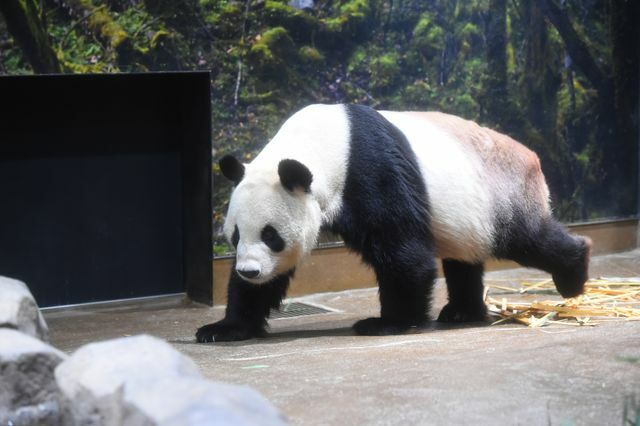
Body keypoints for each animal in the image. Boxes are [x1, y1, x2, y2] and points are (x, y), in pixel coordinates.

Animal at [195, 103, 592, 342]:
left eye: (271, 235)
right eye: (235, 236)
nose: (249, 270)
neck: (323, 143)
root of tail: (531, 156)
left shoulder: (369, 170)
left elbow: (403, 252)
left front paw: (388, 322)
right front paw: (224, 328)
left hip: (504, 194)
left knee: (530, 238)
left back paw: (574, 274)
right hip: (469, 216)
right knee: (464, 260)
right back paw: (461, 312)